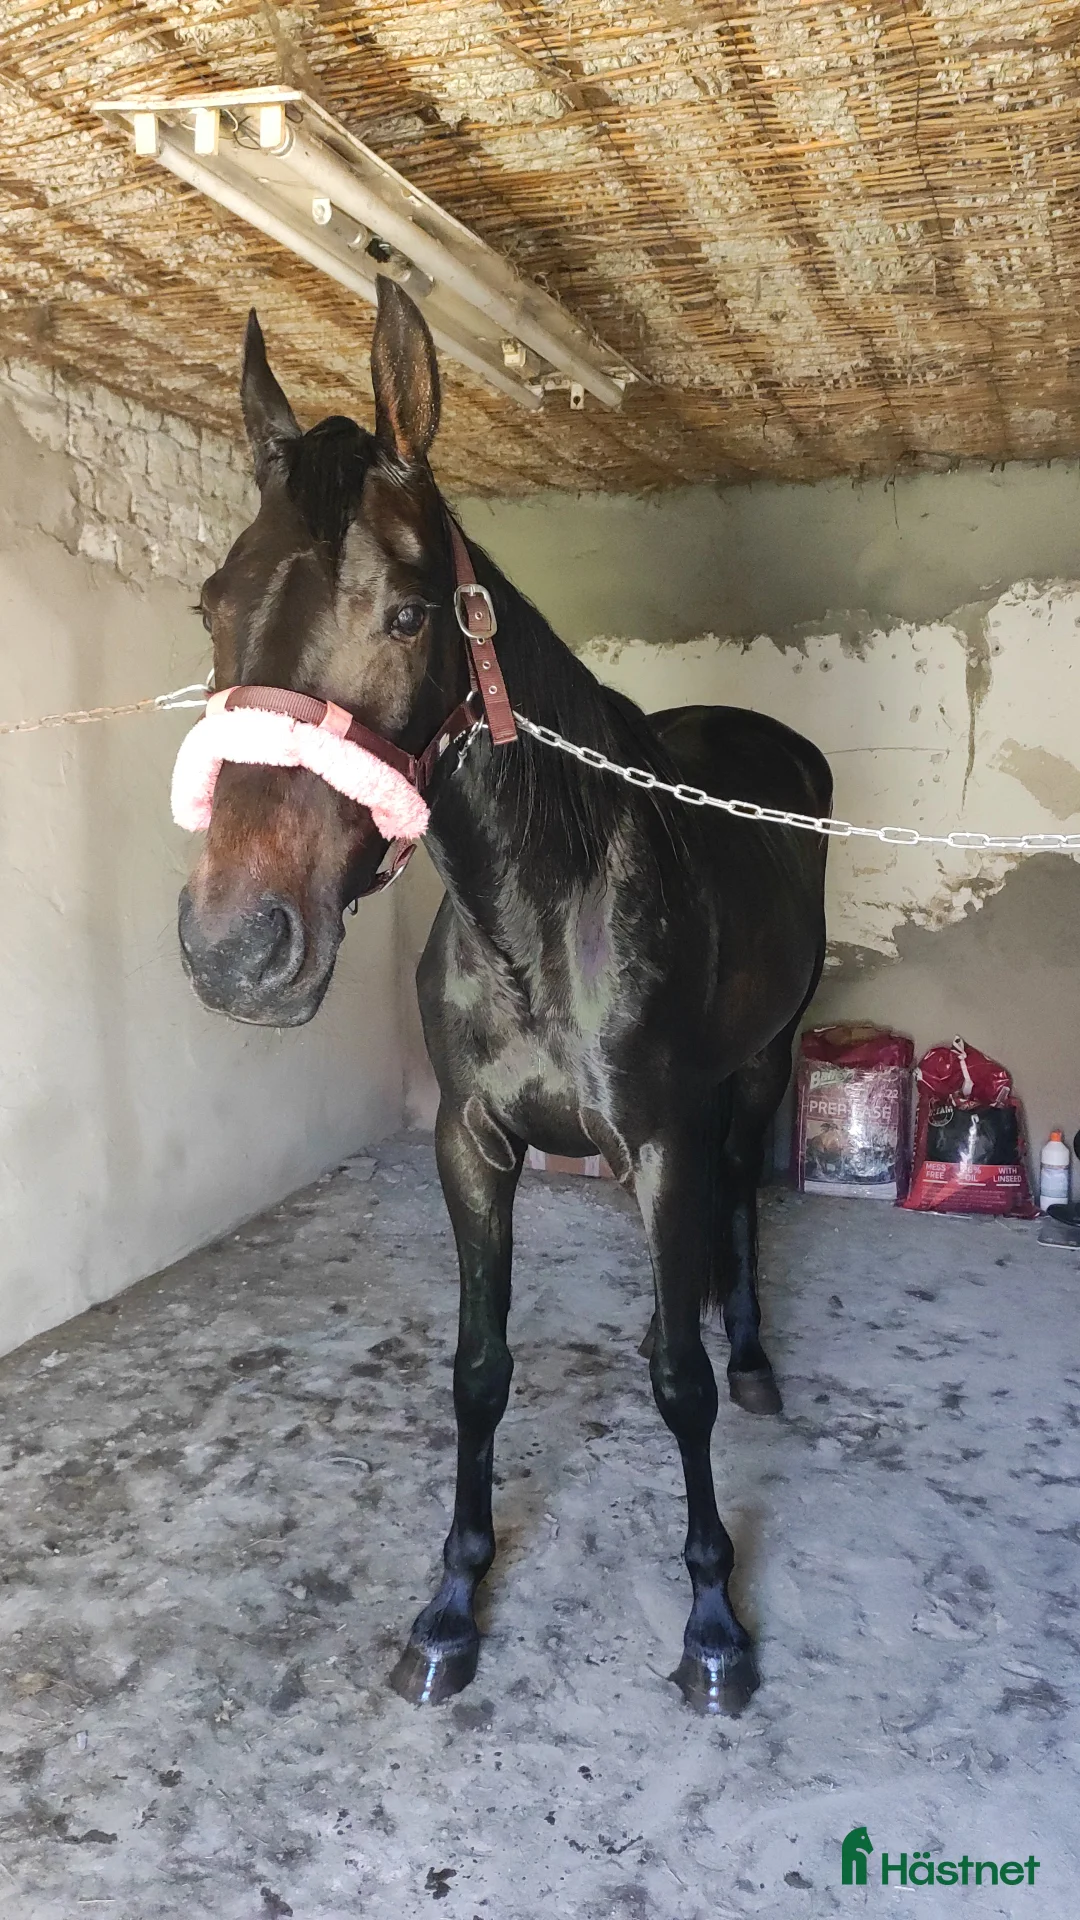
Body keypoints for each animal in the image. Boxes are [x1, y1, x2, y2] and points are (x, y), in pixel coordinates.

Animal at [177, 278, 831, 1715]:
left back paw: (756, 1353)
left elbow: (680, 1386)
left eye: (412, 615)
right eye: (210, 602)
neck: (539, 905)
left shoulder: (660, 1139)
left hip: (763, 1064)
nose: (239, 947)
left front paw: (714, 1623)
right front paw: (451, 1602)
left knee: (742, 1201)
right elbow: (479, 1372)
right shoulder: (469, 1142)